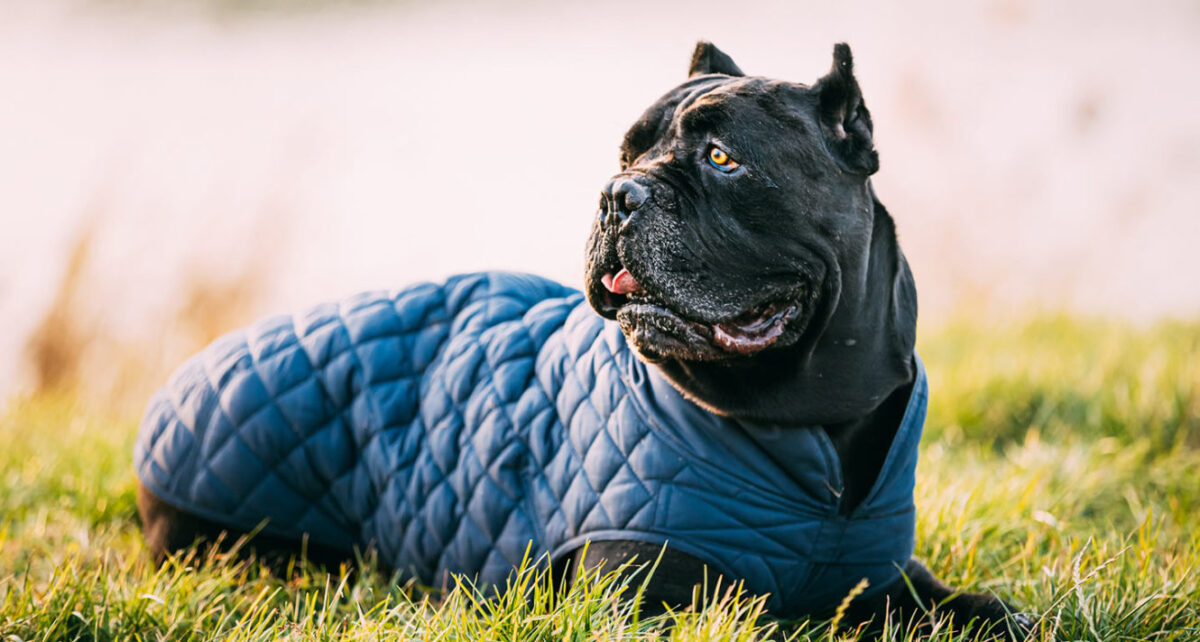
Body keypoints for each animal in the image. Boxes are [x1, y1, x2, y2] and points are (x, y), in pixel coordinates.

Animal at [138, 42, 1032, 638]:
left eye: (723, 158)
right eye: (626, 151)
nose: (617, 193)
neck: (809, 422)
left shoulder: (885, 569)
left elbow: (969, 607)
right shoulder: (645, 601)